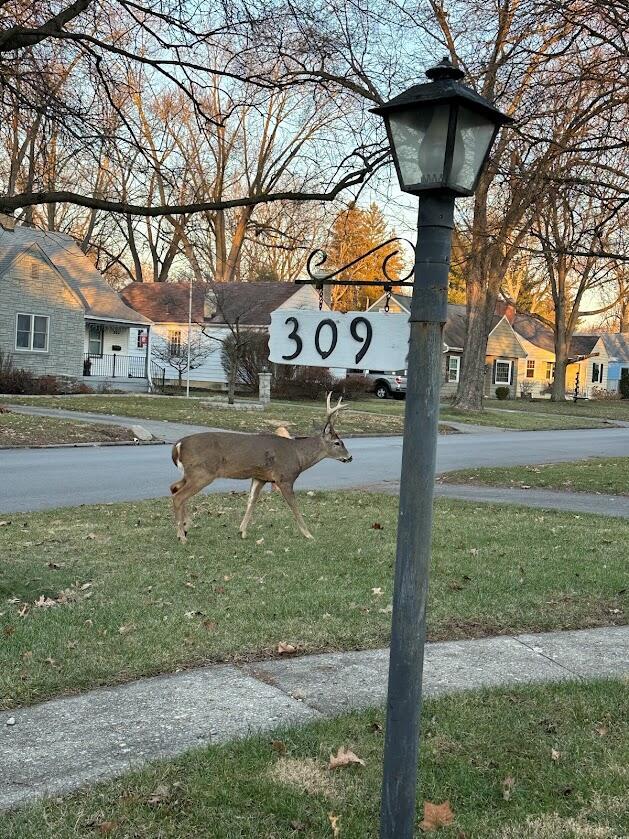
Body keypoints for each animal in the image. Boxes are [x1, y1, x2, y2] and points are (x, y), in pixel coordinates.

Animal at [170, 394, 352, 542]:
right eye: (337, 442)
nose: (349, 457)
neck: (299, 456)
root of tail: (178, 445)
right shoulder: (284, 478)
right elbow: (294, 505)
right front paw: (308, 534)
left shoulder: (260, 477)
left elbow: (251, 501)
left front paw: (242, 531)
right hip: (202, 473)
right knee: (179, 496)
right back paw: (181, 536)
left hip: (190, 473)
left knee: (174, 487)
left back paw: (185, 527)